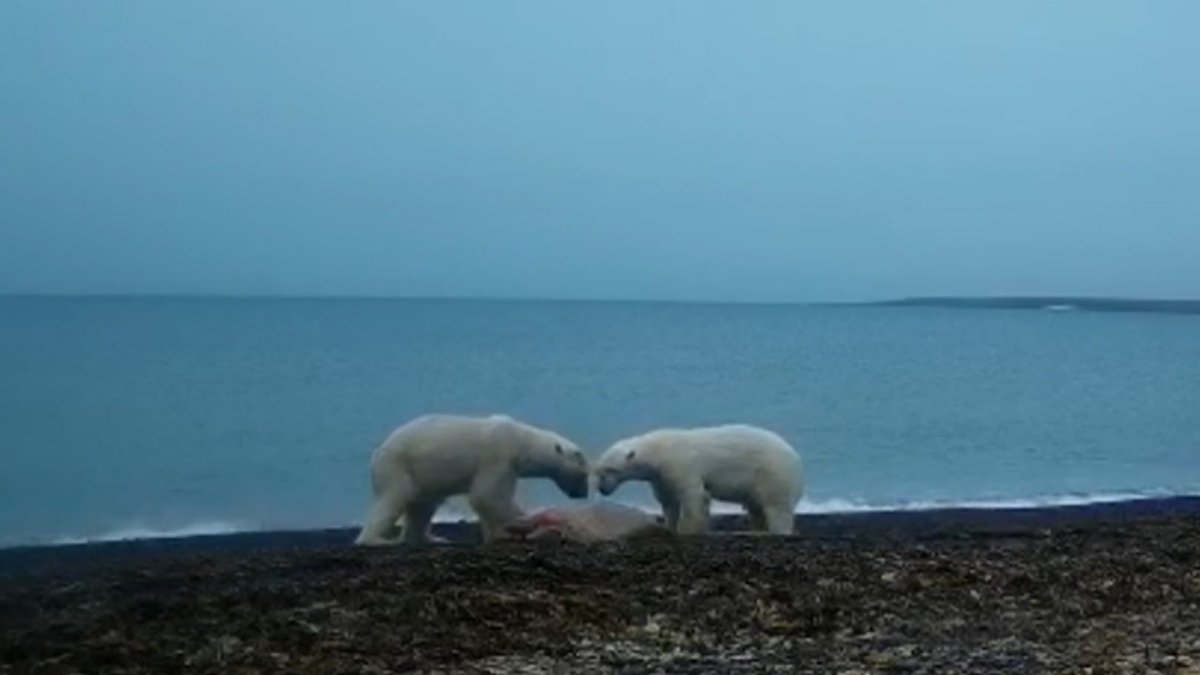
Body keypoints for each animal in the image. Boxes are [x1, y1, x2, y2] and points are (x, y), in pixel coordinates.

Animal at [353, 413, 590, 546]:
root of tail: (377, 455)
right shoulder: (497, 458)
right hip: (397, 467)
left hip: (422, 477)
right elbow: (487, 496)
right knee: (393, 500)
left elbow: (487, 499)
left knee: (423, 507)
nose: (583, 493)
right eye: (584, 473)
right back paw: (377, 540)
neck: (519, 440)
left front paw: (497, 534)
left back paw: (431, 538)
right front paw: (528, 520)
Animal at [593, 424, 803, 536]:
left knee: (776, 507)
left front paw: (689, 529)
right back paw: (758, 529)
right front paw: (669, 527)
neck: (658, 451)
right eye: (598, 471)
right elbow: (668, 501)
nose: (602, 489)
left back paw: (776, 531)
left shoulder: (680, 465)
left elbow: (693, 496)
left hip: (772, 473)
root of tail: (797, 459)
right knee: (756, 508)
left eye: (609, 470)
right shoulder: (661, 477)